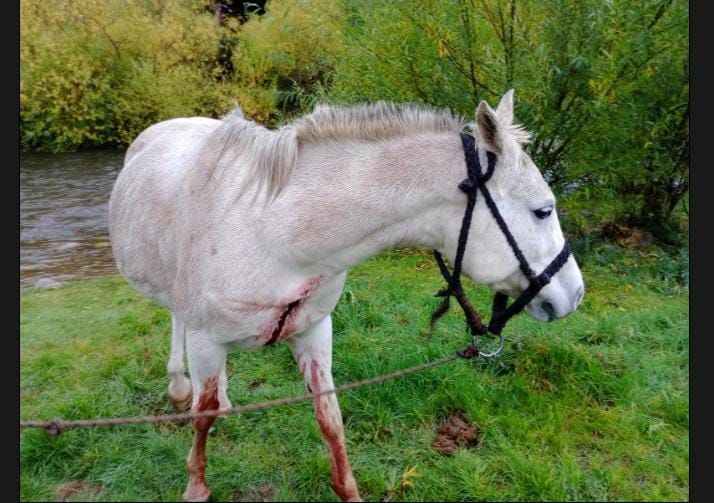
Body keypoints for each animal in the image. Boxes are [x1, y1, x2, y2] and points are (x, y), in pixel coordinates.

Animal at [109, 89, 585, 502]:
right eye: (543, 211)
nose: (575, 295)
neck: (274, 234)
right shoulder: (206, 339)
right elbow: (202, 417)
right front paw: (196, 486)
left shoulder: (314, 331)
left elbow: (330, 418)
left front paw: (348, 489)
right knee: (176, 321)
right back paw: (178, 385)